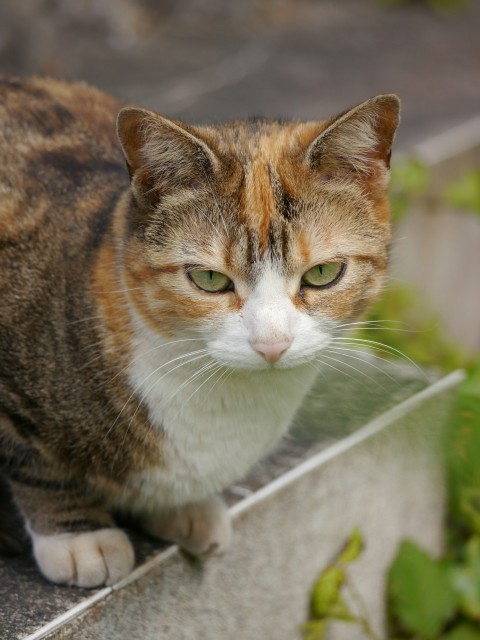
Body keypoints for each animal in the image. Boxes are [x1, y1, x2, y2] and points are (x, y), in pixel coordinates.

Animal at [0, 75, 400, 584]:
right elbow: (36, 464)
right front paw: (79, 537)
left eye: (324, 273)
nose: (272, 345)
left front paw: (182, 508)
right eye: (209, 279)